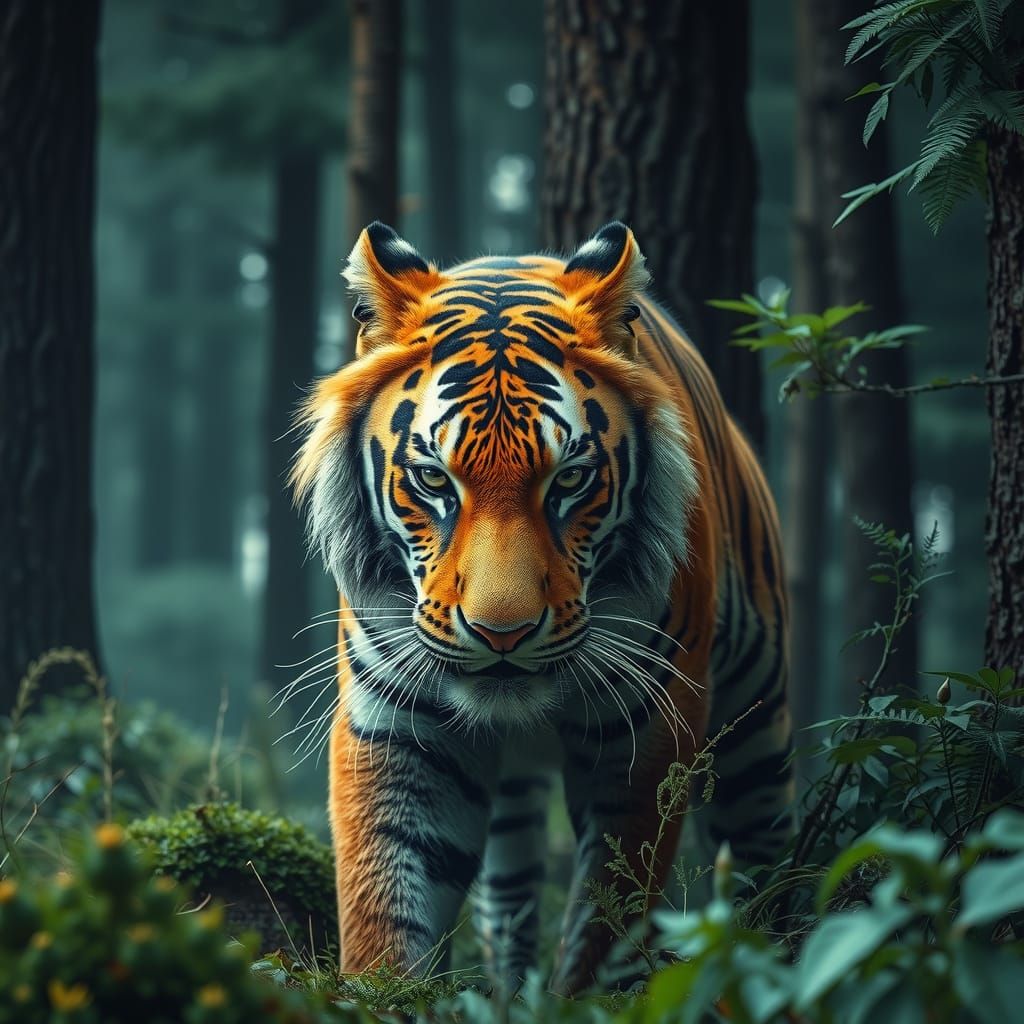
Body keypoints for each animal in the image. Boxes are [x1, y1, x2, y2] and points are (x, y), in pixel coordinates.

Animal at [290, 220, 792, 995]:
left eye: (572, 480)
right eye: (433, 479)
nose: (503, 633)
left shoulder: (645, 729)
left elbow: (608, 914)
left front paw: (587, 997)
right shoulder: (398, 724)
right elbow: (387, 898)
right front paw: (386, 994)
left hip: (757, 731)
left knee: (765, 860)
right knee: (510, 897)